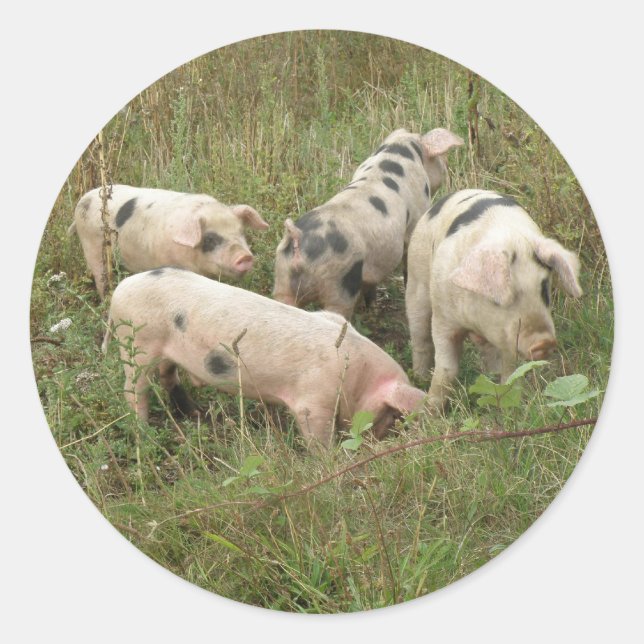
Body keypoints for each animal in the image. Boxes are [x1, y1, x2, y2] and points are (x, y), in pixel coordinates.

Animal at [106, 267, 426, 450]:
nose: (376, 442)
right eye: (391, 414)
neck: (357, 376)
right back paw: (144, 432)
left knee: (168, 375)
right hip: (137, 344)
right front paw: (328, 460)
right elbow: (317, 437)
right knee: (133, 390)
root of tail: (119, 290)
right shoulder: (313, 401)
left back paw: (195, 414)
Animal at [272, 128, 464, 319]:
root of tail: (298, 238)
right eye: (439, 158)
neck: (398, 150)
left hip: (282, 278)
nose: (446, 167)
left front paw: (371, 307)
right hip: (340, 281)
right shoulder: (417, 212)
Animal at [405, 189, 583, 411]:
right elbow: (446, 368)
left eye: (544, 289)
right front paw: (429, 410)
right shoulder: (443, 318)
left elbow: (511, 371)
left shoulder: (506, 337)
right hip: (416, 278)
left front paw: (509, 407)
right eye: (499, 299)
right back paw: (419, 377)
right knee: (420, 336)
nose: (544, 342)